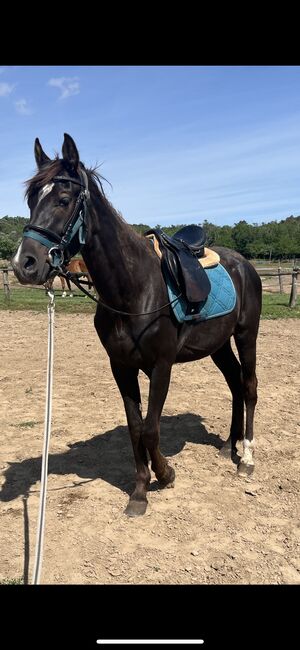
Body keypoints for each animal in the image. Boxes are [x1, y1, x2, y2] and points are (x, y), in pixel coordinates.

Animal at [11, 133, 262, 516]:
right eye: (30, 201)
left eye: (64, 200)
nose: (23, 264)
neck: (134, 289)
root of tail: (244, 264)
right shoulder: (121, 367)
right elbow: (134, 428)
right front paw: (140, 491)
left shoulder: (161, 366)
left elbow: (150, 430)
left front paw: (166, 474)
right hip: (218, 345)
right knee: (234, 383)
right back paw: (226, 448)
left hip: (247, 334)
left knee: (248, 386)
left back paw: (245, 457)